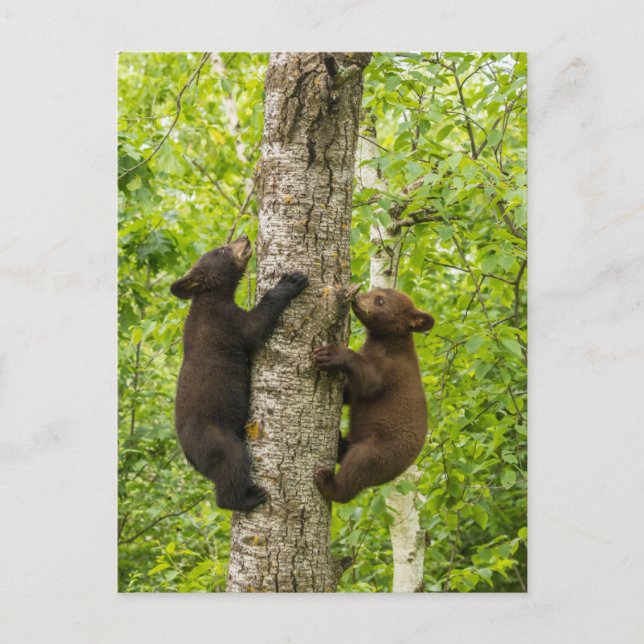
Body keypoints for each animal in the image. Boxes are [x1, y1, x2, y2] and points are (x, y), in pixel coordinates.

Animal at [170, 234, 308, 511]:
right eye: (222, 250)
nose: (244, 237)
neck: (210, 298)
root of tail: (190, 457)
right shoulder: (225, 323)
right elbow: (254, 328)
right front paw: (289, 282)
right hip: (216, 438)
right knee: (232, 463)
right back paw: (248, 498)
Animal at [313, 287, 434, 503]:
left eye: (380, 300)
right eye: (374, 290)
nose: (357, 297)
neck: (387, 342)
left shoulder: (391, 369)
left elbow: (369, 382)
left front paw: (331, 354)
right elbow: (351, 392)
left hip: (381, 450)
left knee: (358, 467)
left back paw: (328, 484)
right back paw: (340, 442)